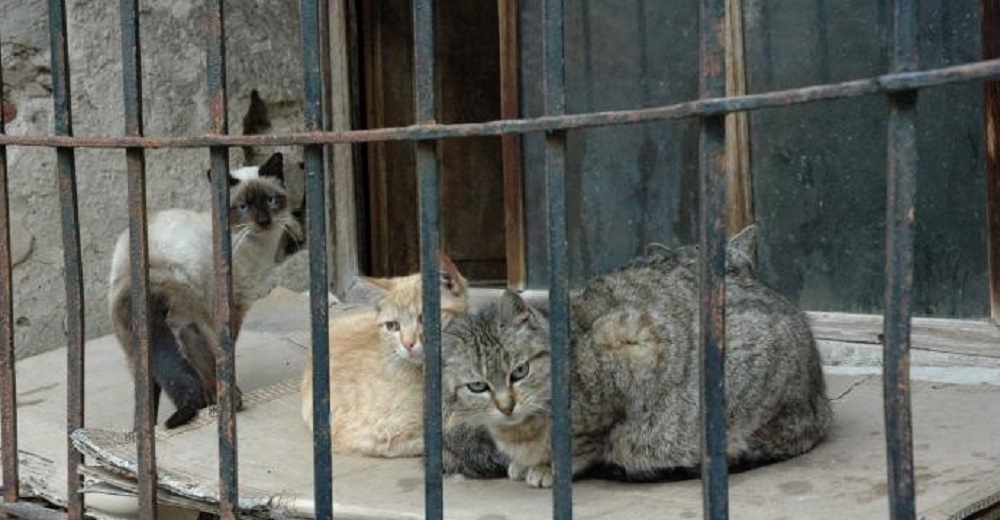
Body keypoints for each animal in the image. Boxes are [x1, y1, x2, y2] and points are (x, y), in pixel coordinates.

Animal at [442, 226, 832, 488]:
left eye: (519, 371)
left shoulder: (632, 345)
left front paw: (549, 466)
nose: (506, 405)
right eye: (477, 386)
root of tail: (819, 404)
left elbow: (586, 441)